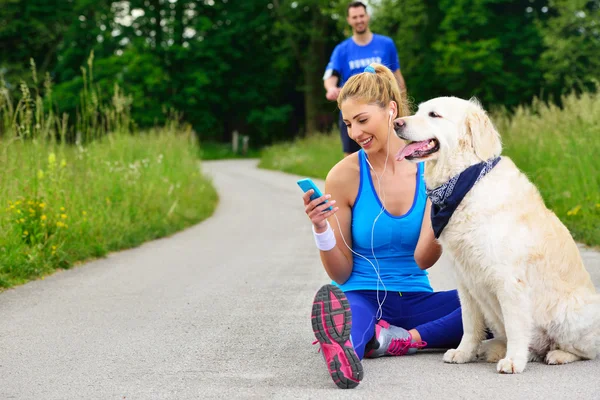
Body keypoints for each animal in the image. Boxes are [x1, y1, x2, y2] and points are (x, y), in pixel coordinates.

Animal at [396, 95, 596, 374]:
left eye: (434, 115)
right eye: (418, 111)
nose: (396, 123)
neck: (462, 181)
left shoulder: (509, 280)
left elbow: (516, 326)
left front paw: (513, 361)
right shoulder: (465, 281)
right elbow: (469, 324)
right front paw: (463, 353)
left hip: (570, 314)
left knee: (584, 351)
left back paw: (557, 355)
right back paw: (491, 349)